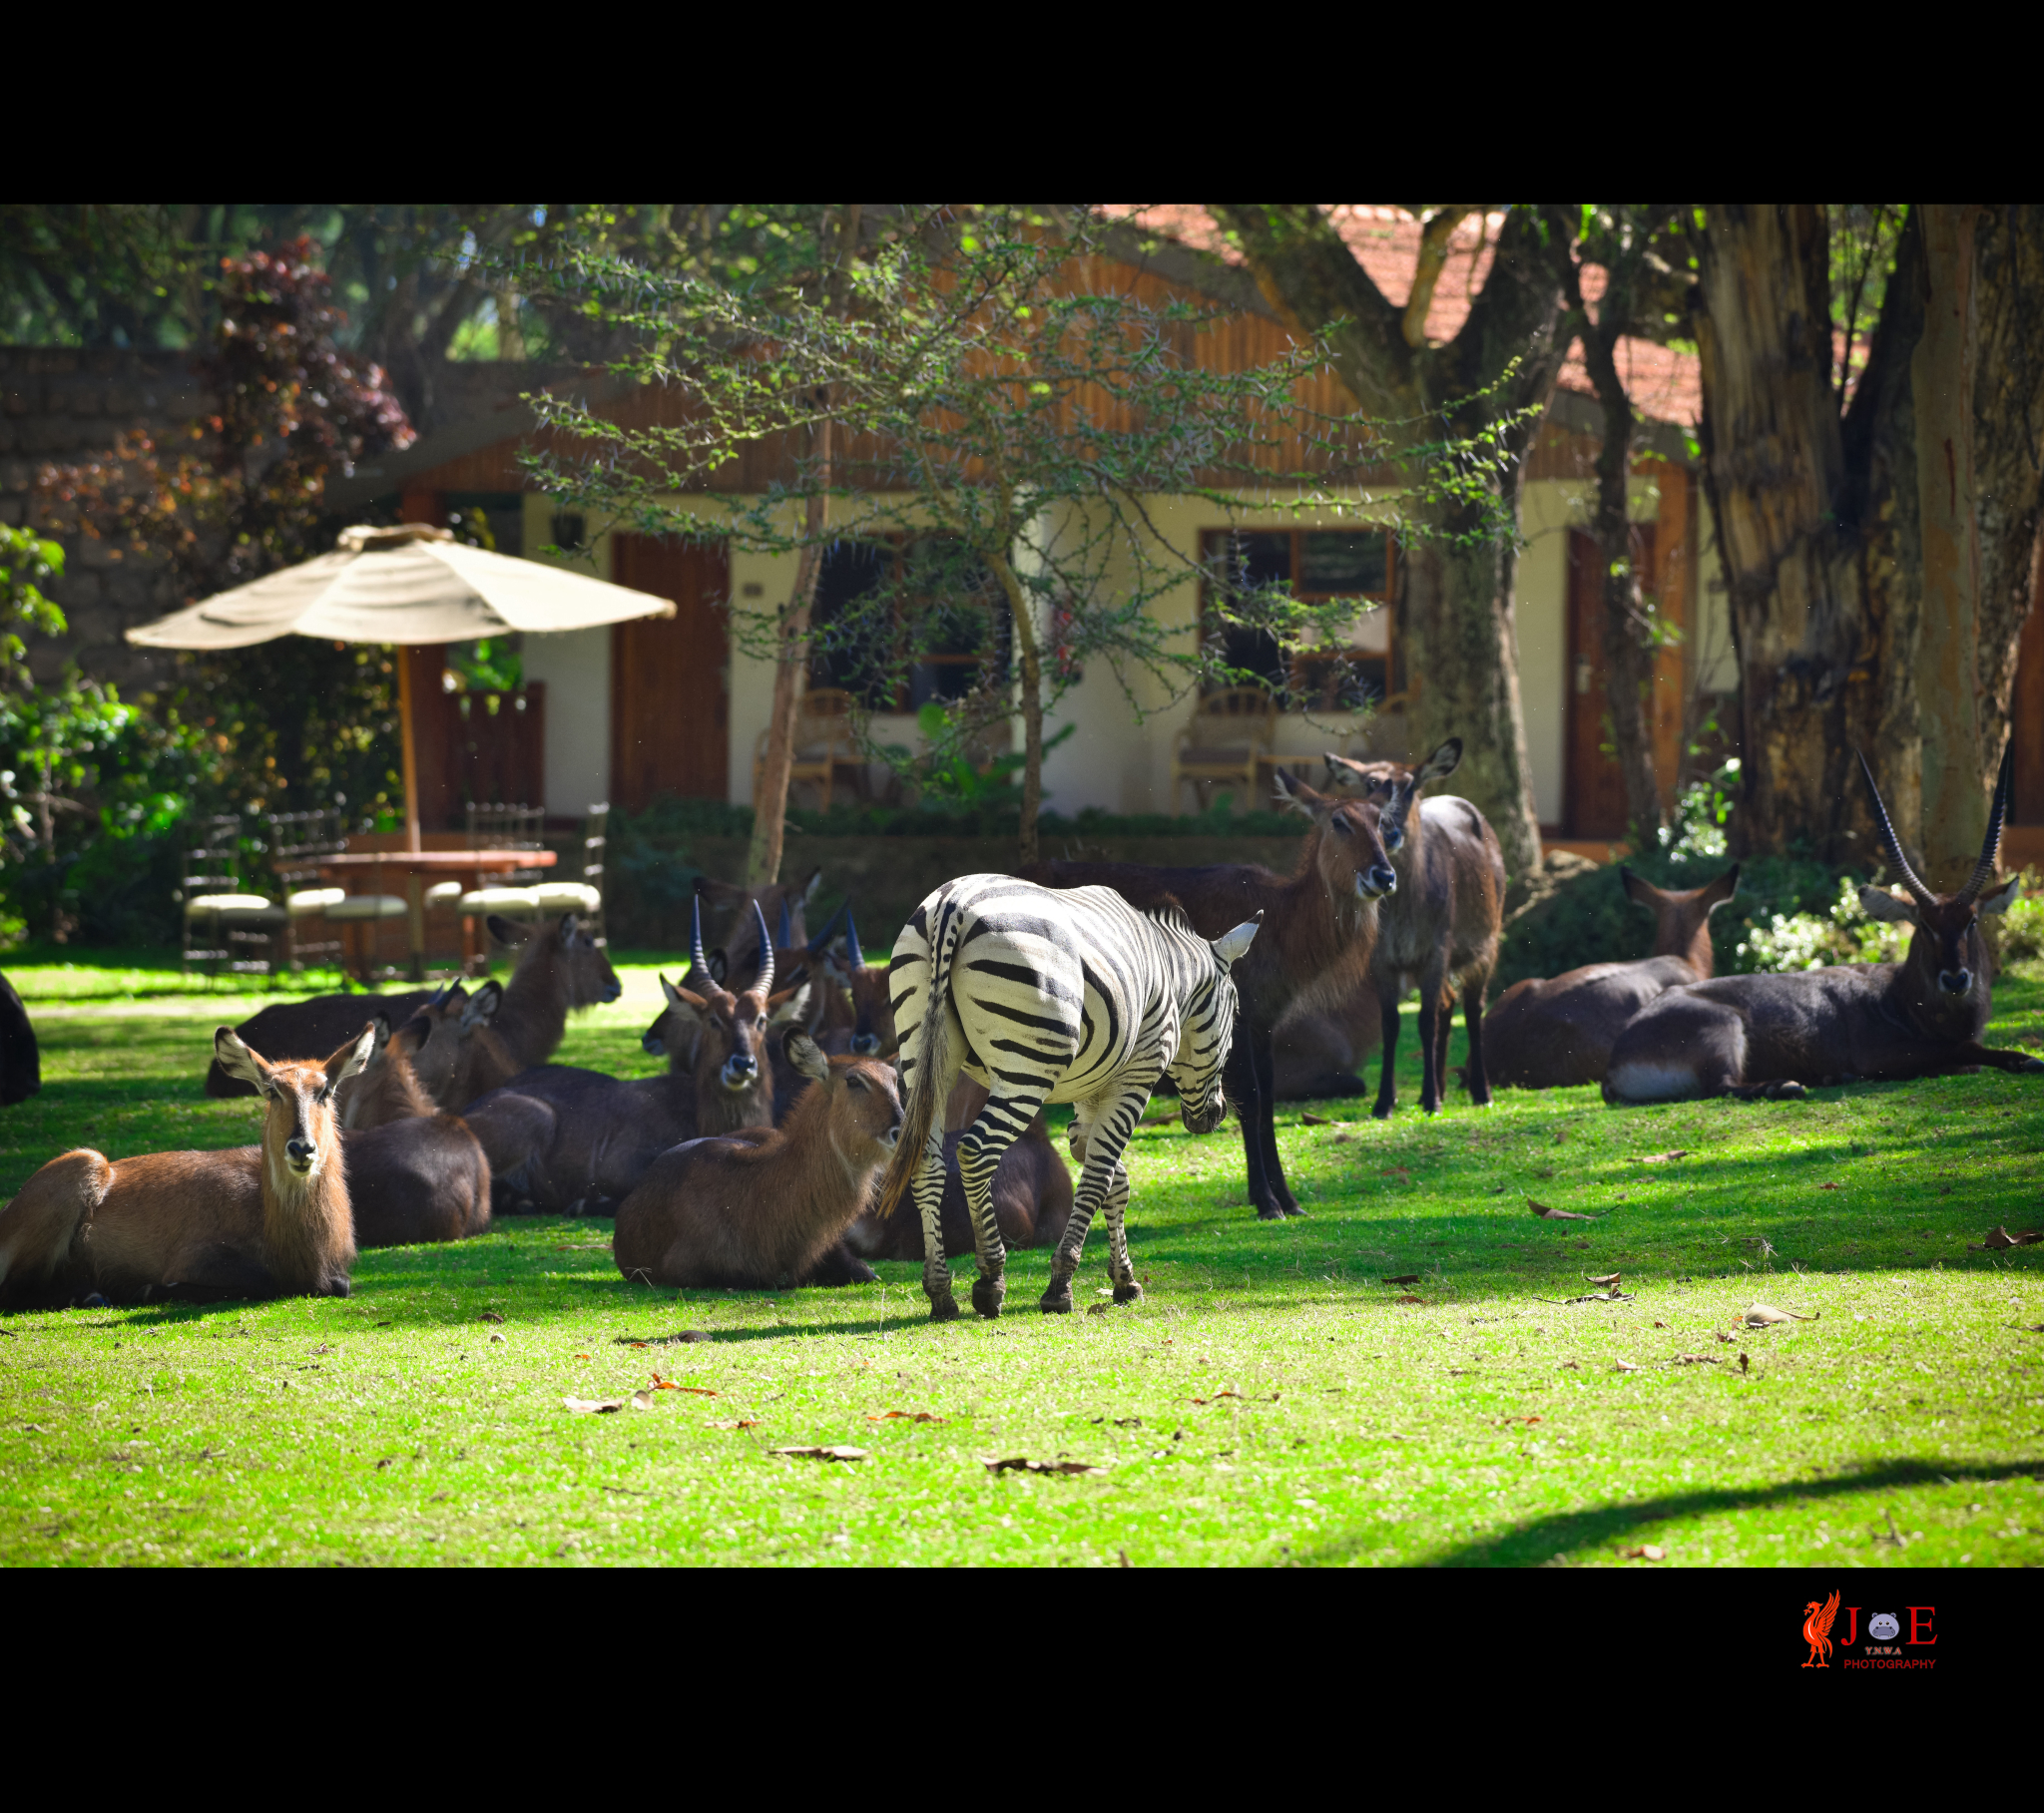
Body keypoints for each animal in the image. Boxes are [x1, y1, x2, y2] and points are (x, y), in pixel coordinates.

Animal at [870, 874, 1251, 1316]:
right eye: (1235, 1012)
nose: (1216, 1115)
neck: (1172, 975)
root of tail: (953, 904)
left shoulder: (1090, 1092)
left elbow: (1114, 1180)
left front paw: (1124, 1280)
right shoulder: (1134, 1079)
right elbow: (1099, 1176)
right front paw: (1061, 1285)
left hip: (924, 1058)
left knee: (927, 1163)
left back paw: (941, 1293)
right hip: (1026, 1070)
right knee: (976, 1151)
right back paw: (990, 1280)